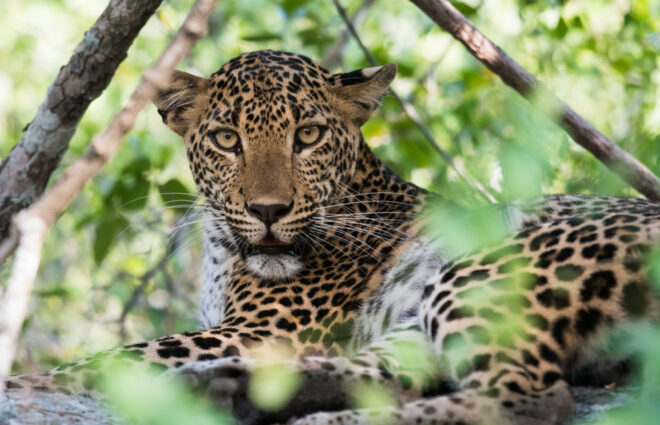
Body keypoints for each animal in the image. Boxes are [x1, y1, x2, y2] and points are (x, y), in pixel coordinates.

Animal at [5, 50, 660, 424]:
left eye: (309, 135)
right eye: (226, 140)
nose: (269, 210)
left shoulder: (261, 330)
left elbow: (113, 357)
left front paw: (27, 382)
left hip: (491, 267)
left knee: (530, 398)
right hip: (415, 319)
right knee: (390, 383)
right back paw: (225, 389)